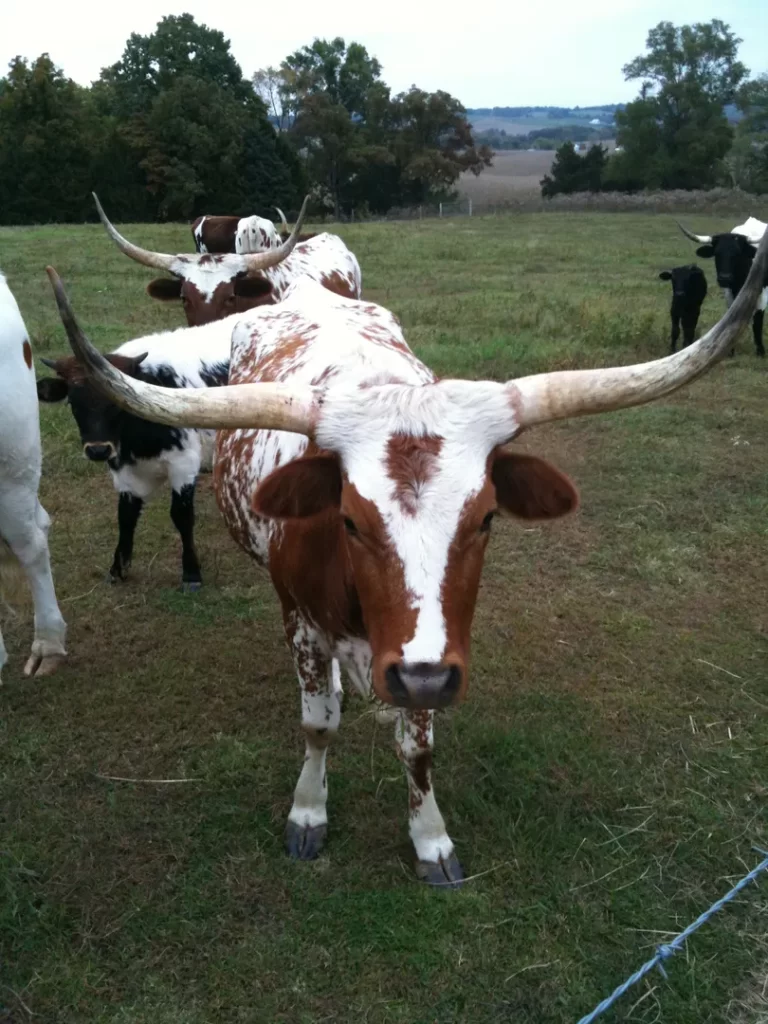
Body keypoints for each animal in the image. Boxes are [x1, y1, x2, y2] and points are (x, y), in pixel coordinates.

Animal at [36, 319, 233, 593]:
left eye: (117, 404)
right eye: (72, 403)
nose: (98, 450)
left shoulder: (184, 464)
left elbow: (182, 515)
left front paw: (191, 573)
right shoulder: (124, 470)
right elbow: (125, 516)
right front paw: (117, 569)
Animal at [684, 216, 765, 356]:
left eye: (738, 254)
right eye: (717, 254)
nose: (724, 278)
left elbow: (758, 323)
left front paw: (760, 350)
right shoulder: (729, 294)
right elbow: (731, 320)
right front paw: (730, 350)